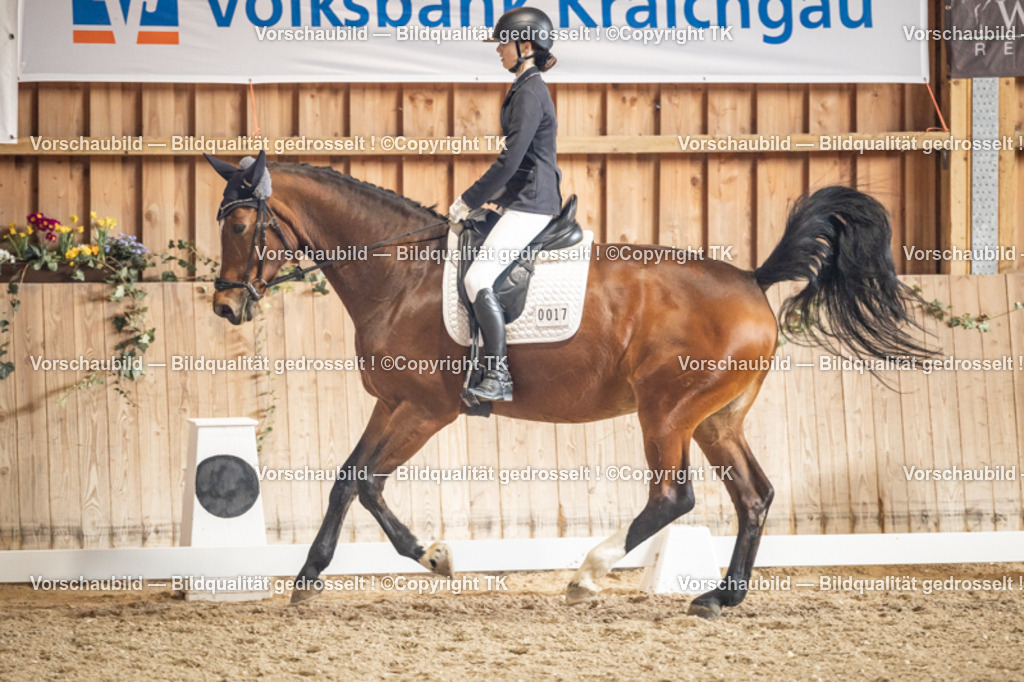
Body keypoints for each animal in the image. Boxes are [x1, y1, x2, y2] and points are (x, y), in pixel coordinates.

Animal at [205, 151, 932, 618]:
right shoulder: (392, 403)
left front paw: (428, 555)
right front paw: (317, 574)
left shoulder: (426, 409)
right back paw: (720, 598)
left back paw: (588, 577)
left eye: (239, 225)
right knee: (754, 496)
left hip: (667, 413)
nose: (225, 308)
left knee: (672, 497)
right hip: (716, 419)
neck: (400, 275)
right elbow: (349, 478)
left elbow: (364, 480)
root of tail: (752, 279)